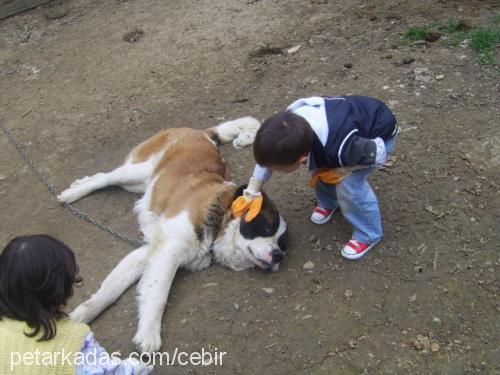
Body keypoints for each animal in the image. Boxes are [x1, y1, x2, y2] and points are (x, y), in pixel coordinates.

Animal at [56, 118, 288, 356]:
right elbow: (158, 293)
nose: (279, 255)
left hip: (139, 184)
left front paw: (82, 314)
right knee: (104, 178)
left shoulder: (149, 252)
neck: (219, 219)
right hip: (137, 171)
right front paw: (149, 335)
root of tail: (202, 133)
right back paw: (72, 194)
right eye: (267, 228)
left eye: (282, 243)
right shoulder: (168, 252)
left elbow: (113, 288)